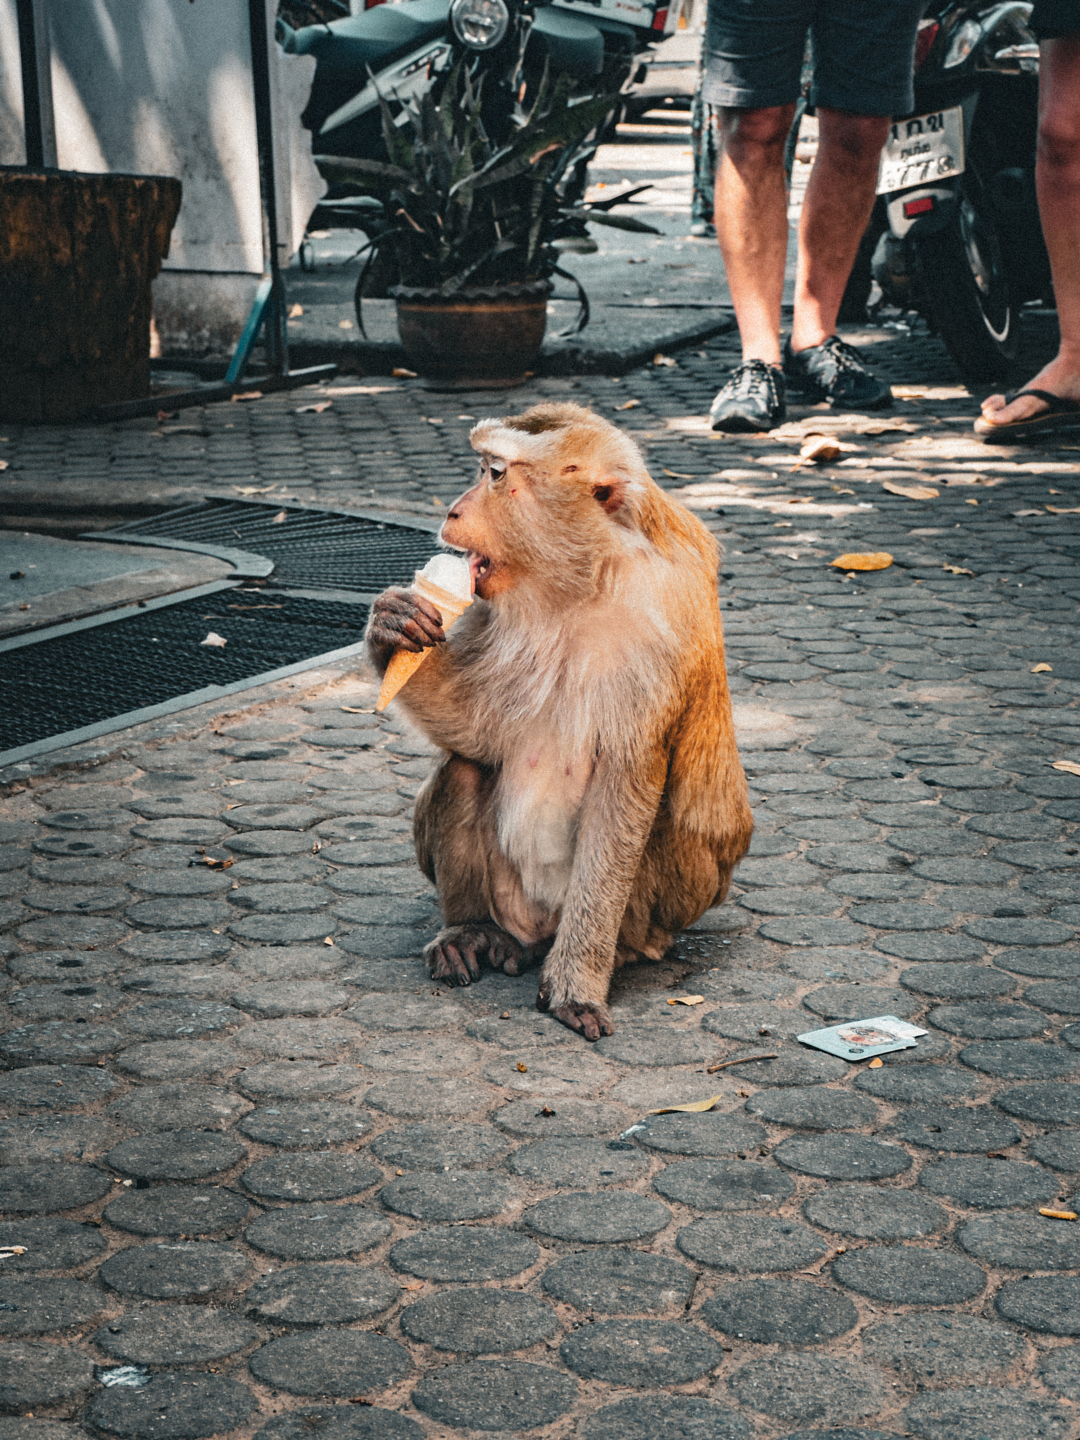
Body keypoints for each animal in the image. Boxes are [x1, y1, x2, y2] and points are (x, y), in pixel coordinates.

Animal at [366, 401, 752, 1040]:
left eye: (496, 474)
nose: (452, 509)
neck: (584, 578)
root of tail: (535, 931)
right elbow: (476, 727)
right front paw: (390, 625)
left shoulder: (661, 622)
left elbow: (628, 783)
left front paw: (580, 983)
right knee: (464, 768)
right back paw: (475, 932)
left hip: (663, 908)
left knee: (655, 821)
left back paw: (618, 952)